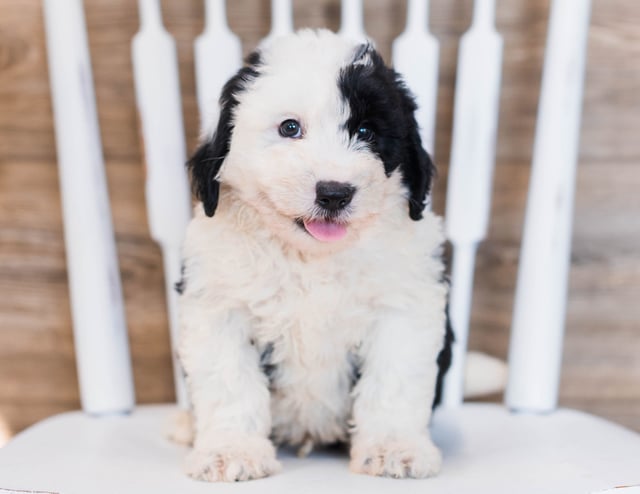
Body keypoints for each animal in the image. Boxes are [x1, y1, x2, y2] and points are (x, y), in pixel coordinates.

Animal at [178, 29, 452, 482]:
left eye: (366, 131)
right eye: (290, 128)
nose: (334, 192)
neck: (311, 258)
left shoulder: (404, 306)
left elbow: (394, 380)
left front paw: (394, 448)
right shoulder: (219, 306)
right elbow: (229, 381)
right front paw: (231, 451)